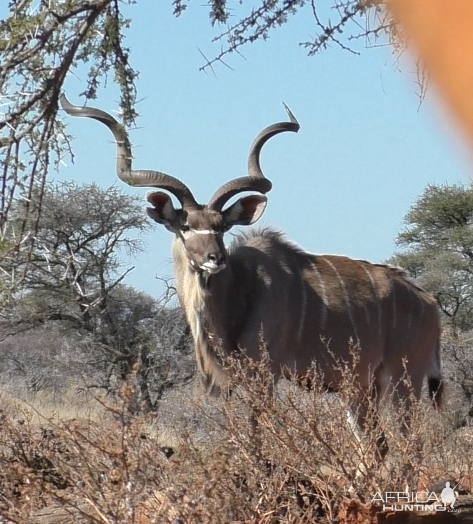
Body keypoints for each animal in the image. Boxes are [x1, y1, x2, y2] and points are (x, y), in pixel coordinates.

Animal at [60, 95, 442, 442]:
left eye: (221, 227)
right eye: (186, 226)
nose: (215, 258)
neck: (238, 293)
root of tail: (430, 303)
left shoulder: (264, 375)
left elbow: (259, 438)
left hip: (403, 380)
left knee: (411, 445)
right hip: (361, 388)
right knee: (377, 446)